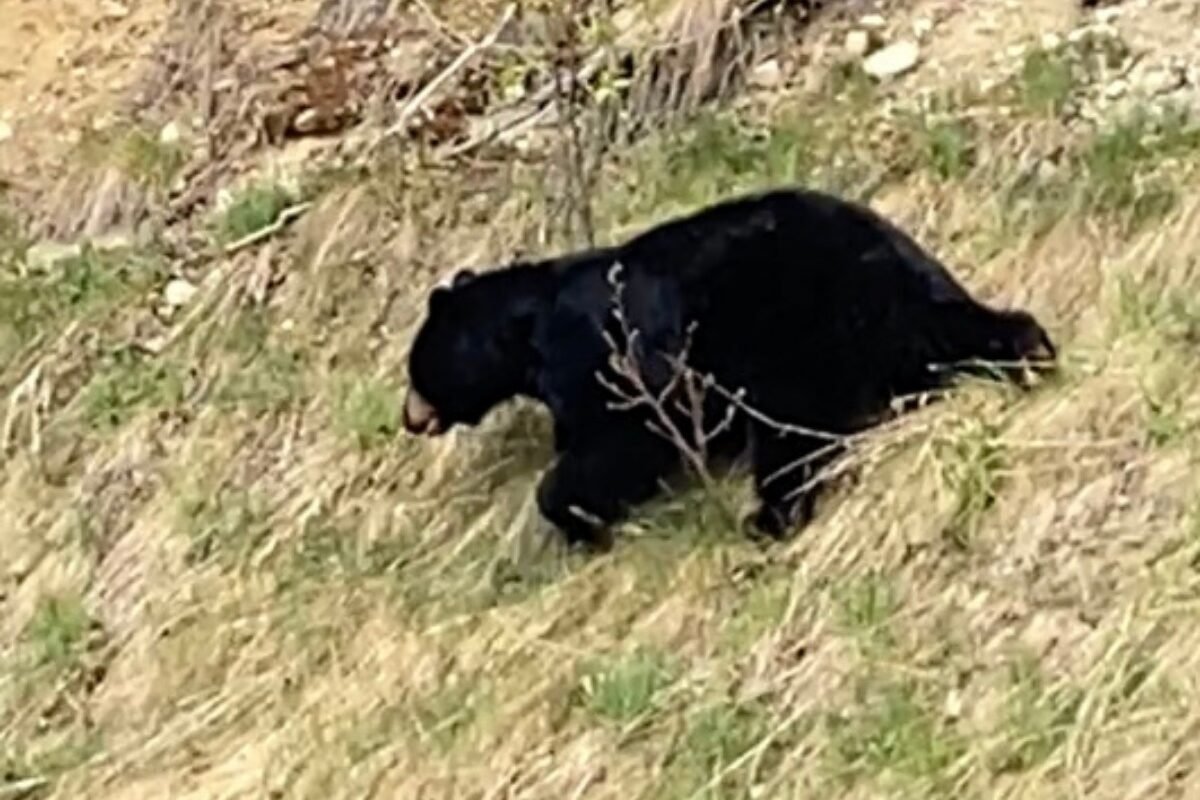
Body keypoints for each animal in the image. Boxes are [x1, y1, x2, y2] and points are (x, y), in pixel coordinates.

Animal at [402, 186, 1057, 549]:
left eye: (415, 372)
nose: (409, 419)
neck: (527, 337)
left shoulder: (603, 361)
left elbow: (623, 439)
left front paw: (578, 517)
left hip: (787, 339)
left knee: (791, 435)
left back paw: (769, 518)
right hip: (906, 300)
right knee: (957, 330)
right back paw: (1031, 354)